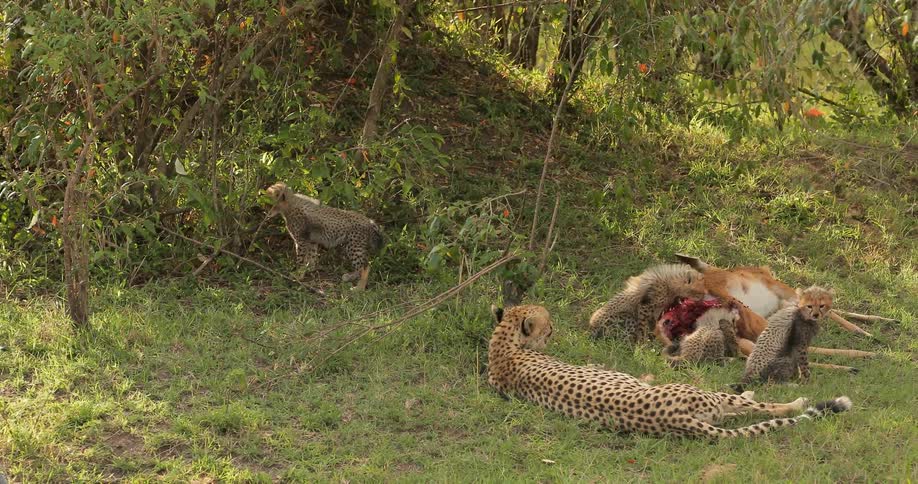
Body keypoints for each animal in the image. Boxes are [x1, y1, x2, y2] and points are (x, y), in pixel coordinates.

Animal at [488, 304, 852, 438]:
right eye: (548, 326)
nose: (554, 329)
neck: (502, 348)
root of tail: (671, 418)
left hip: (710, 413)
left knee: (734, 413)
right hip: (707, 397)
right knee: (756, 406)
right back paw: (793, 401)